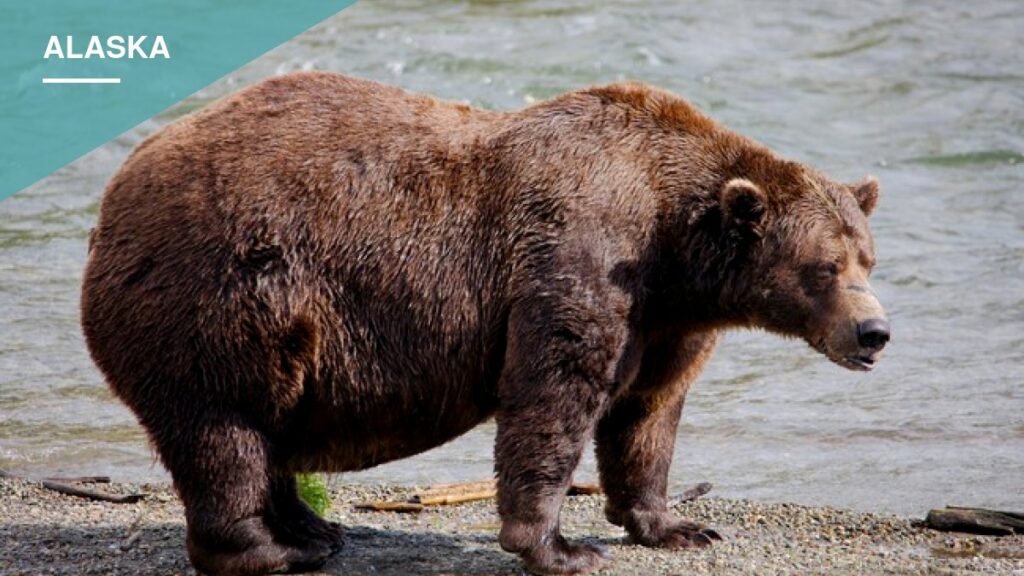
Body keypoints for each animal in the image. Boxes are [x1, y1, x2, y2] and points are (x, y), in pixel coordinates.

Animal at [81, 72, 890, 576]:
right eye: (824, 267)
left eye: (868, 258)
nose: (874, 333)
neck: (674, 244)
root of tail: (113, 198)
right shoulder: (578, 257)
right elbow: (554, 394)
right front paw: (560, 547)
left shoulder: (666, 319)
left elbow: (647, 414)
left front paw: (677, 525)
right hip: (223, 296)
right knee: (225, 431)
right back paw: (272, 549)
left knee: (265, 430)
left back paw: (315, 528)